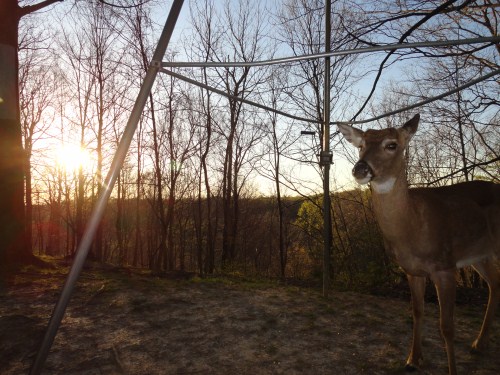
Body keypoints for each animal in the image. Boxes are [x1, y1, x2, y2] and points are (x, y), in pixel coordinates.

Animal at [338, 115, 498, 375]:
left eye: (392, 144)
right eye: (360, 145)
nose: (360, 169)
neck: (413, 227)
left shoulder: (445, 266)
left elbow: (447, 327)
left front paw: (451, 369)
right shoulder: (412, 270)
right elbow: (417, 312)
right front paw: (413, 359)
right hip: (480, 254)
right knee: (495, 283)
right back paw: (479, 344)